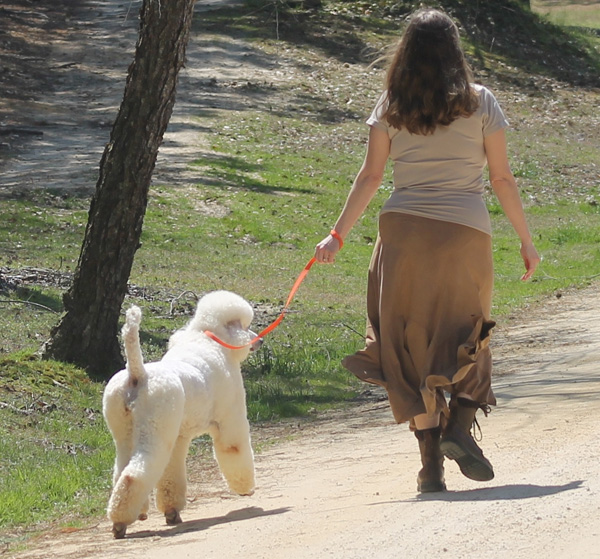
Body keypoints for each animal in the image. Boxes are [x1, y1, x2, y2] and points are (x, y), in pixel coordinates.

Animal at [102, 290, 261, 539]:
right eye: (245, 326)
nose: (259, 340)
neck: (210, 340)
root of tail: (138, 375)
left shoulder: (178, 437)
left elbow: (170, 475)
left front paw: (172, 512)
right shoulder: (230, 420)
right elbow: (234, 450)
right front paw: (245, 488)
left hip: (124, 431)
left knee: (121, 471)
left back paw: (133, 513)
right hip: (155, 431)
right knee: (133, 475)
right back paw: (120, 523)